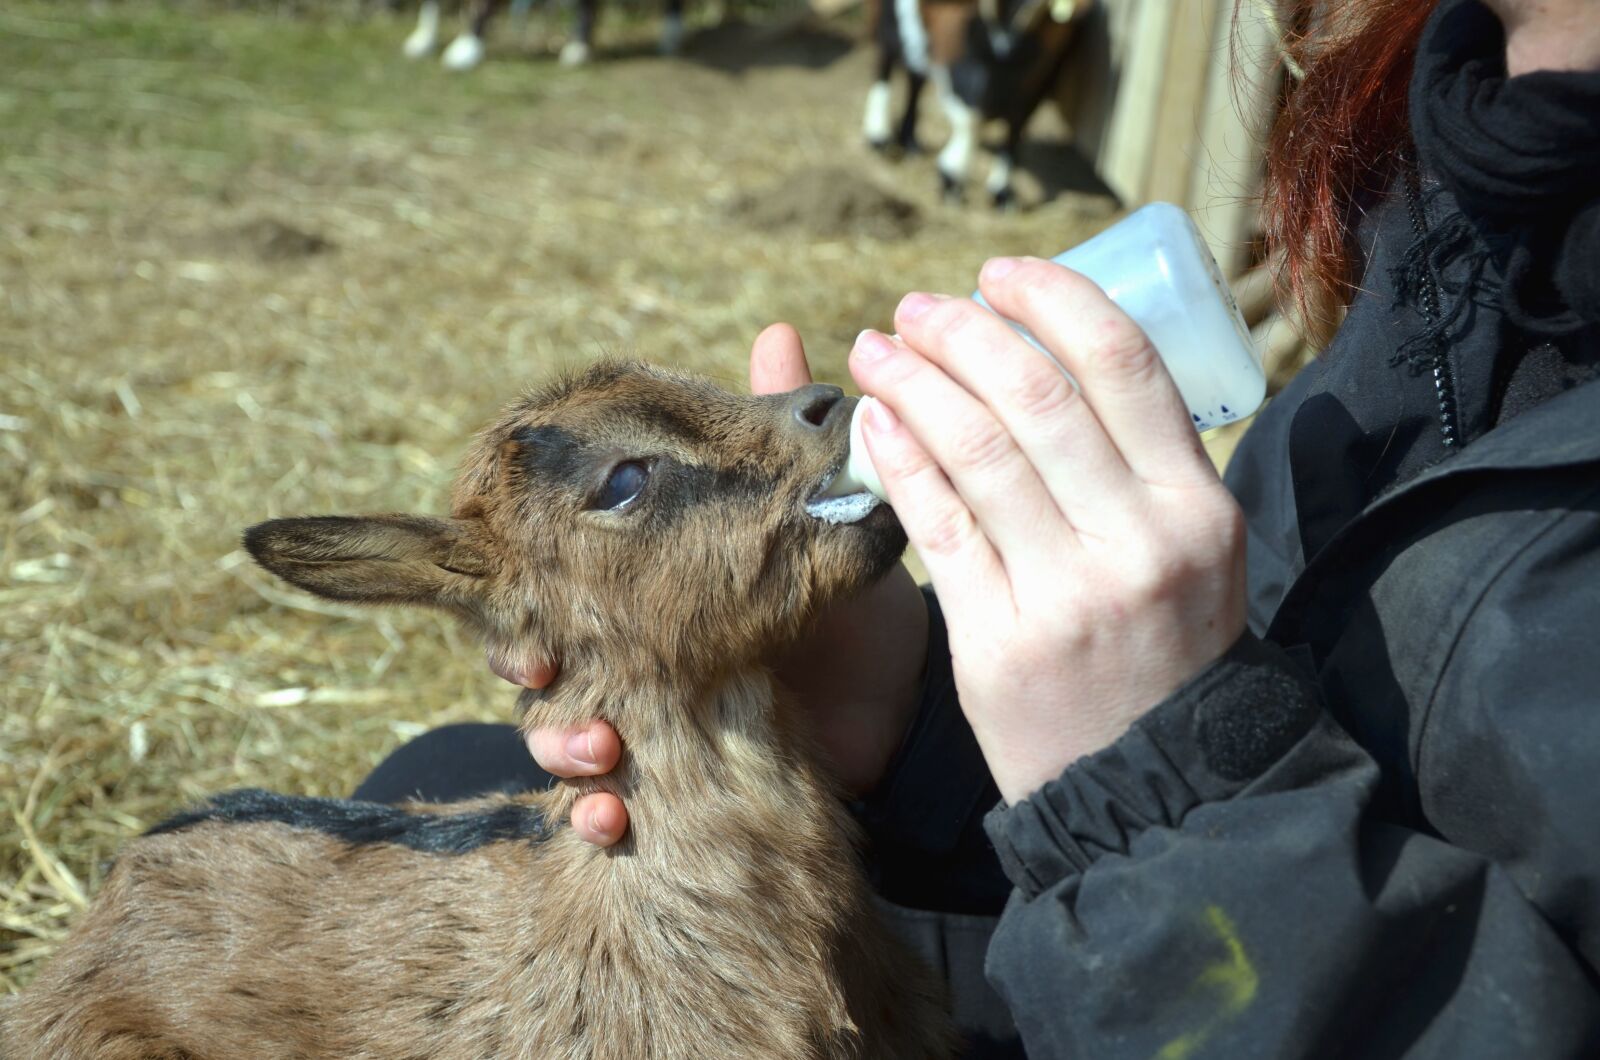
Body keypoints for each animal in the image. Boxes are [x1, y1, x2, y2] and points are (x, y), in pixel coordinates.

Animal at [863, 0, 1091, 208]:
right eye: (970, 39)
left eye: (1031, 55)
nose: (996, 107)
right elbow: (970, 117)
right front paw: (952, 175)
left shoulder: (1049, 68)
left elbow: (1018, 123)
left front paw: (1001, 192)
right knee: (889, 55)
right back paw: (879, 134)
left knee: (915, 70)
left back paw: (909, 141)